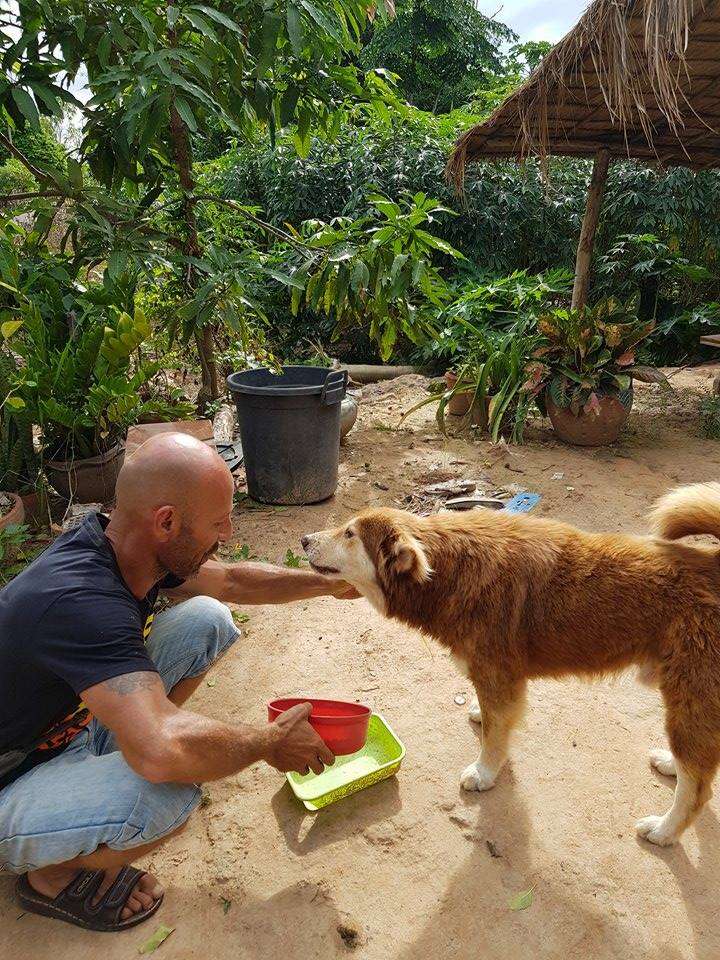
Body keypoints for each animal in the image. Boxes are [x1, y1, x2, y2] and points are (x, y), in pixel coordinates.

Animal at [300, 484, 720, 844]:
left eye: (350, 534)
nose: (303, 539)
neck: (450, 570)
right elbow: (489, 718)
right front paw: (477, 714)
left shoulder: (499, 680)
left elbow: (494, 737)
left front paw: (485, 773)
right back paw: (671, 763)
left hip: (690, 700)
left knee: (697, 787)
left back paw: (664, 831)